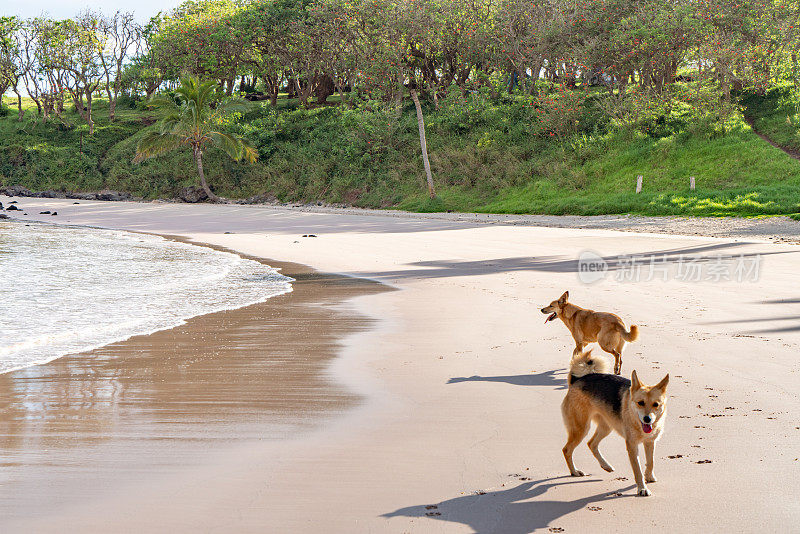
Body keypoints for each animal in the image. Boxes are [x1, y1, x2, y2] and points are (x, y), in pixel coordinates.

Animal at [564, 354, 668, 500]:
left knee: (591, 444)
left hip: (606, 427)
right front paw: (642, 488)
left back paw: (606, 466)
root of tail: (577, 380)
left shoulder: (650, 442)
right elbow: (637, 470)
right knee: (567, 450)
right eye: (640, 403)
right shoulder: (632, 446)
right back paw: (574, 471)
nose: (647, 419)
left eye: (656, 404)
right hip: (581, 428)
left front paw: (649, 477)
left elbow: (650, 462)